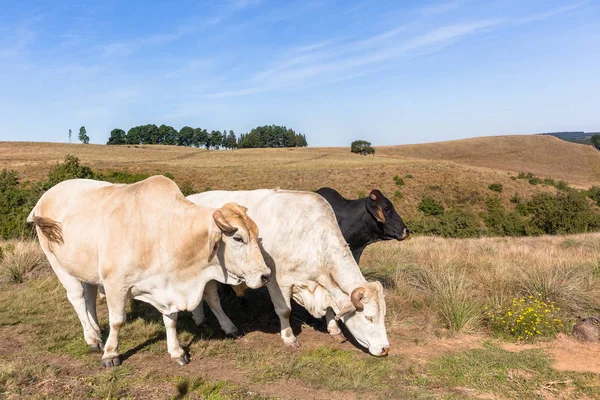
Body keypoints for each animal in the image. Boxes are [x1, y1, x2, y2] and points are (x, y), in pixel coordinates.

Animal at [28, 177, 270, 368]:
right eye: (238, 238)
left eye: (257, 234)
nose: (265, 275)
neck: (164, 232)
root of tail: (45, 196)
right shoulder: (115, 283)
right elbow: (117, 320)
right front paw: (111, 354)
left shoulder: (167, 287)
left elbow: (171, 320)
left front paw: (176, 352)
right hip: (58, 263)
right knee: (77, 298)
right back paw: (92, 338)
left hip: (86, 268)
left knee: (88, 296)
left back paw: (96, 330)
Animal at [190, 189, 392, 358]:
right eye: (369, 317)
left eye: (383, 316)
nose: (384, 349)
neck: (311, 238)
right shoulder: (278, 281)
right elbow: (284, 310)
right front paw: (289, 337)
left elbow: (330, 308)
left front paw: (335, 330)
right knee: (211, 298)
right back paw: (226, 326)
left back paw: (199, 319)